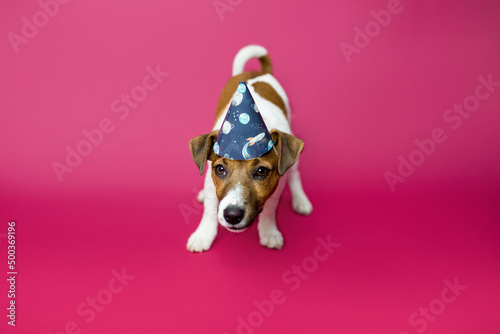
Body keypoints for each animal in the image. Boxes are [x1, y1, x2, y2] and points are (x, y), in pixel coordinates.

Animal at [188, 45, 312, 252]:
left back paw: (300, 200)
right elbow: (209, 208)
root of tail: (259, 72)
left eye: (261, 171)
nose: (232, 215)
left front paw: (269, 232)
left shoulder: (277, 184)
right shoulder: (210, 179)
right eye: (220, 169)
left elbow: (270, 209)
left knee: (295, 174)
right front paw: (203, 235)